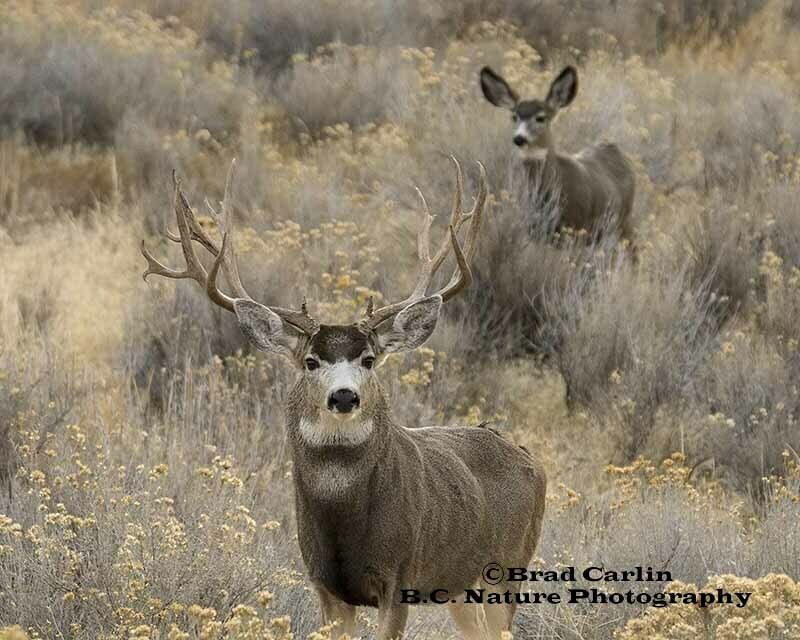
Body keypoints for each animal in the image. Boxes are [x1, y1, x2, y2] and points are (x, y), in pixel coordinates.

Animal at [141, 158, 547, 640]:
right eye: (311, 361)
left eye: (369, 359)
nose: (344, 396)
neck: (343, 519)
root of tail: (529, 457)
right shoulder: (324, 585)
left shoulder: (399, 575)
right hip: (460, 586)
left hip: (508, 567)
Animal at [480, 65, 636, 243]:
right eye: (514, 117)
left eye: (540, 118)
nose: (519, 138)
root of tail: (615, 150)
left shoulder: (573, 226)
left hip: (621, 222)